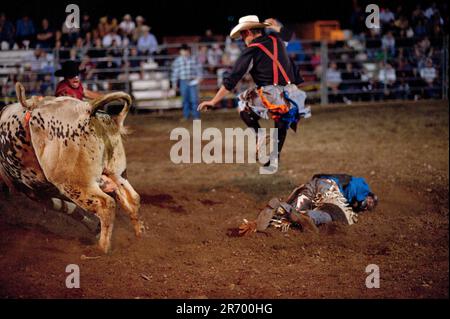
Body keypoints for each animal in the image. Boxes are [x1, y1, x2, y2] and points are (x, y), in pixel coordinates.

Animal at [0, 84, 143, 254]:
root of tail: (86, 109)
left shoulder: (30, 189)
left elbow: (64, 207)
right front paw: (95, 228)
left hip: (74, 184)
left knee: (105, 205)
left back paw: (101, 248)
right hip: (116, 172)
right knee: (131, 198)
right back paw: (139, 234)